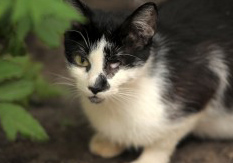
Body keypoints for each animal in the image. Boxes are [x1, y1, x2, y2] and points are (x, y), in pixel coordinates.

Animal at [63, 0, 233, 162]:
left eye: (116, 63)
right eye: (81, 60)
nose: (95, 87)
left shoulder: (204, 80)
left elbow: (166, 138)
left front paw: (149, 158)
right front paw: (109, 142)